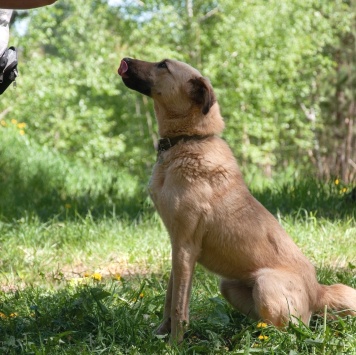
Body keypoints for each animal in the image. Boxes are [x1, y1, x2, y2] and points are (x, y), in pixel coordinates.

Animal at [119, 58, 356, 344]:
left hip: (265, 284)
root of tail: (318, 291)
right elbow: (168, 299)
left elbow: (178, 305)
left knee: (289, 331)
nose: (125, 61)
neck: (187, 141)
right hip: (229, 284)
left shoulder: (185, 246)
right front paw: (160, 334)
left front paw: (175, 344)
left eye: (163, 65)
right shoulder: (176, 245)